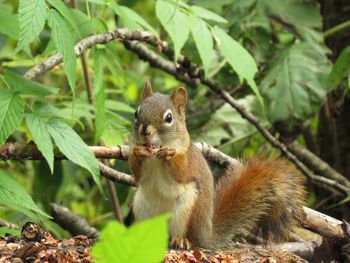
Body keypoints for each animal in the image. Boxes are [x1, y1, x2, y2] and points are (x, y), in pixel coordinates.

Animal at [129, 82, 306, 250]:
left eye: (168, 118)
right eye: (137, 112)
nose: (145, 131)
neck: (156, 154)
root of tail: (205, 233)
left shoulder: (189, 159)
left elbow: (182, 171)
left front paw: (170, 154)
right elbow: (137, 174)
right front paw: (137, 152)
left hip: (187, 210)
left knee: (188, 236)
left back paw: (181, 240)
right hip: (141, 207)